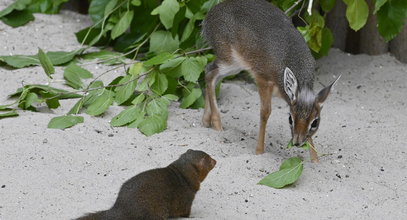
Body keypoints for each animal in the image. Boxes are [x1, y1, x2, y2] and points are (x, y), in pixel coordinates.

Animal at [202, 0, 342, 162]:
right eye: (290, 119)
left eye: (315, 122)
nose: (297, 142)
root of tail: (209, 15)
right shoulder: (262, 80)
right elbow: (265, 112)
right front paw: (259, 151)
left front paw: (315, 161)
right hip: (229, 60)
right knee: (209, 73)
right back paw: (217, 125)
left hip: (235, 66)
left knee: (210, 73)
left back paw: (205, 121)